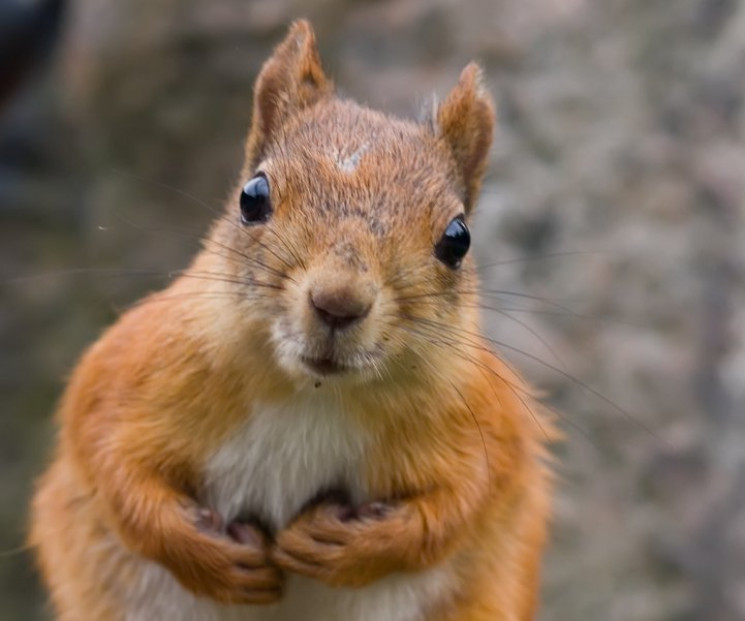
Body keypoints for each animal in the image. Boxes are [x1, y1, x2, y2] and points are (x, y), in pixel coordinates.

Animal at [29, 19, 552, 620]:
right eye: (252, 197)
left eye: (457, 238)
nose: (338, 302)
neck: (312, 394)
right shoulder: (126, 374)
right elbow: (109, 464)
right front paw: (210, 557)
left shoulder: (488, 423)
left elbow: (462, 504)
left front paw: (350, 547)